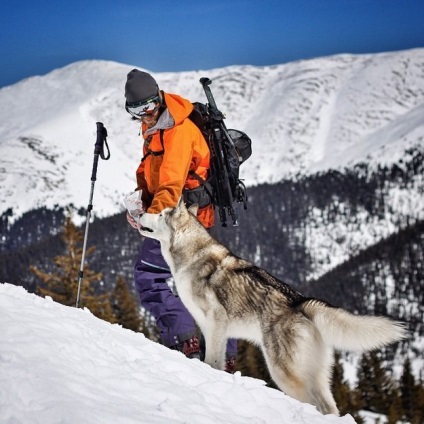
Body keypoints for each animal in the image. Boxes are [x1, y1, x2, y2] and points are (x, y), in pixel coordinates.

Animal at [137, 200, 406, 416]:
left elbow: (211, 360)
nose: (139, 213)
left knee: (311, 404)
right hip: (315, 375)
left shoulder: (216, 323)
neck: (190, 254)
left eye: (160, 214)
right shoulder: (212, 329)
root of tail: (300, 301)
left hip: (282, 372)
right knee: (329, 408)